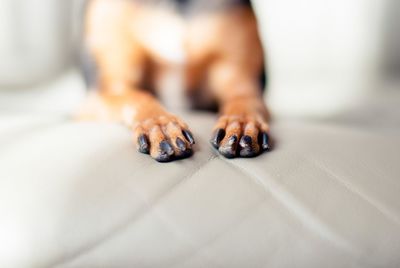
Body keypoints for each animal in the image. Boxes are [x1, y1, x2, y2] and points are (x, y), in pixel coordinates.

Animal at [79, 0, 270, 162]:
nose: (242, 125)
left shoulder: (240, 77)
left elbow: (244, 99)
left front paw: (241, 123)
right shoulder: (104, 90)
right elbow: (138, 96)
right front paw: (160, 125)